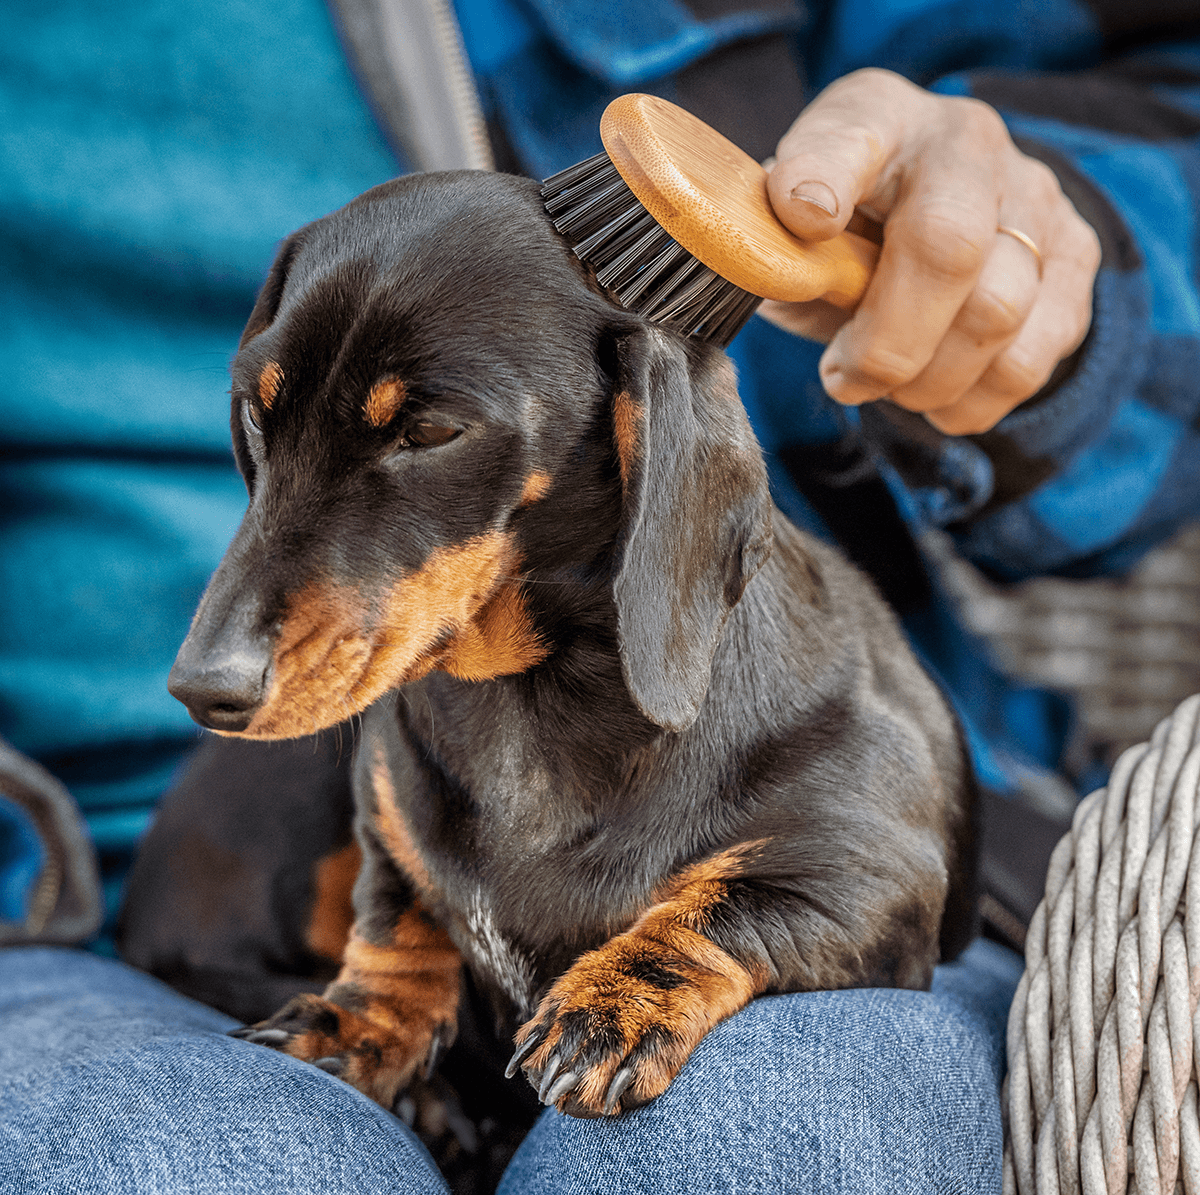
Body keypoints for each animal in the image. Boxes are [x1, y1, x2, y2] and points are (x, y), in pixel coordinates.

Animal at [166, 172, 974, 1123]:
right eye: (257, 413)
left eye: (429, 432)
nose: (202, 689)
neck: (521, 699)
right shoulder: (384, 834)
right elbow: (393, 920)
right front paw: (355, 1020)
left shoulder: (871, 870)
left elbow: (728, 902)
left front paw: (616, 1000)